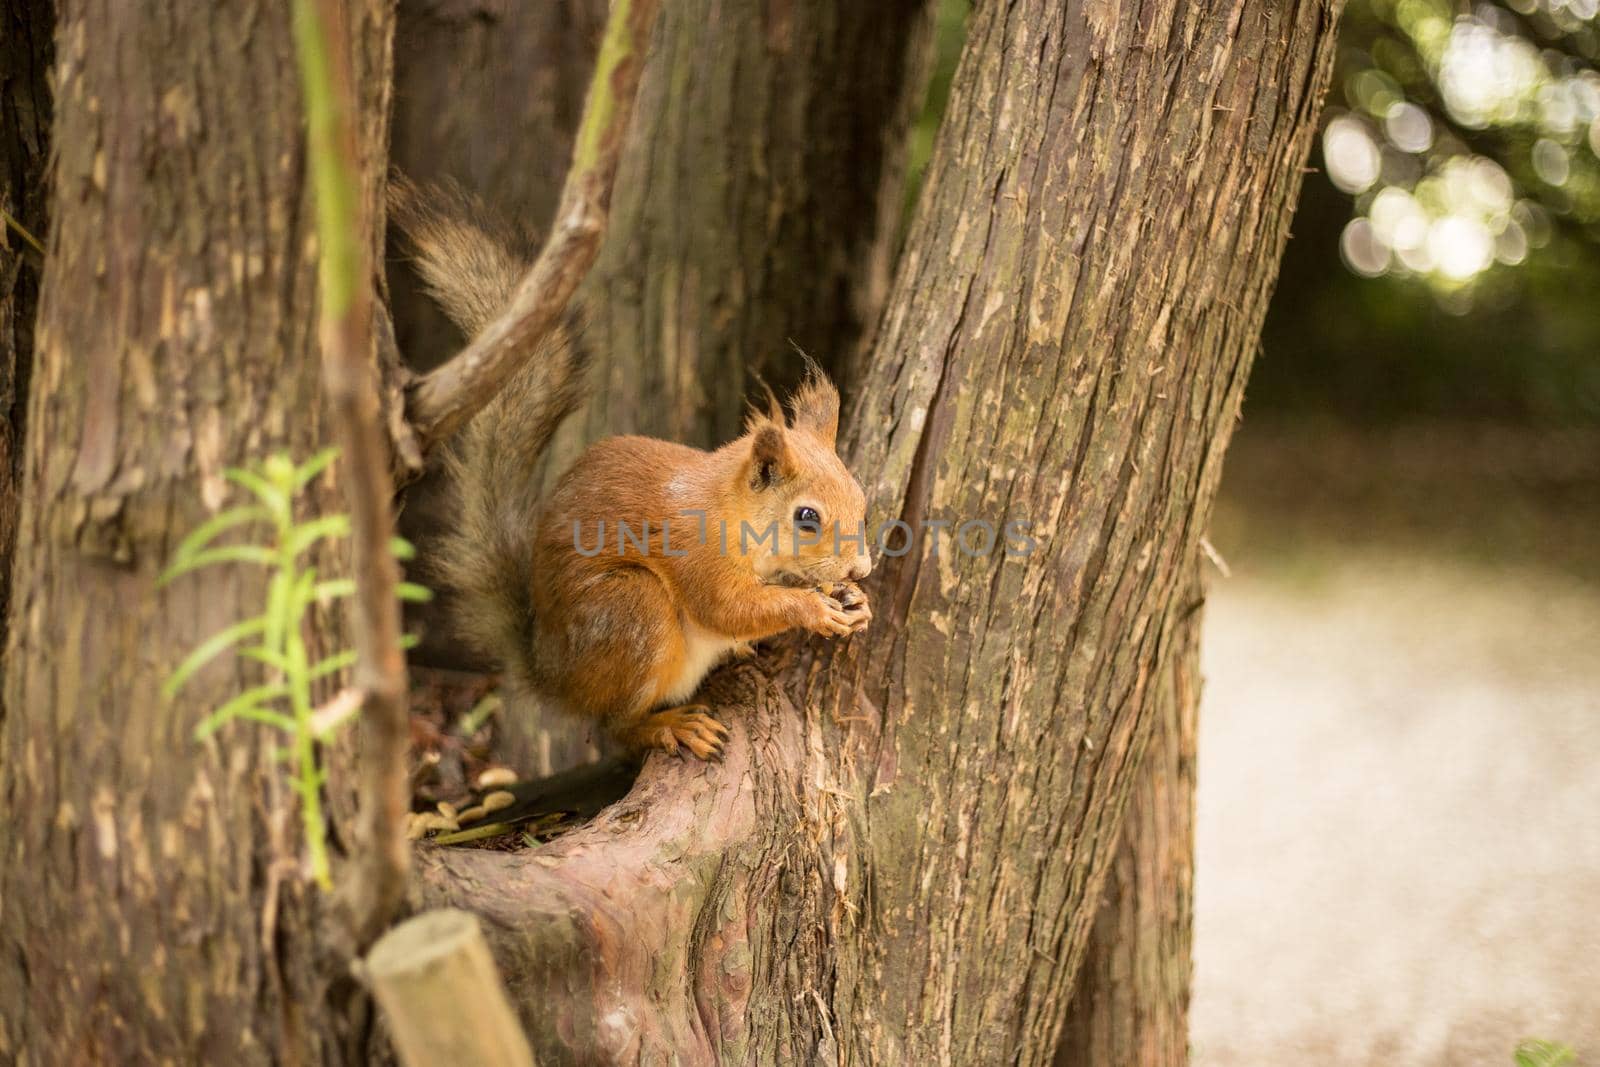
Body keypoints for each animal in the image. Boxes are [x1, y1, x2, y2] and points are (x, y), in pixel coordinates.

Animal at [398, 181, 876, 758]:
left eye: (862, 501)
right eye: (807, 517)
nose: (861, 569)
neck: (732, 513)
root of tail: (554, 676)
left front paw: (856, 601)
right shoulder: (696, 554)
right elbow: (730, 609)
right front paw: (812, 609)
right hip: (631, 613)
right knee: (617, 725)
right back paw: (669, 725)